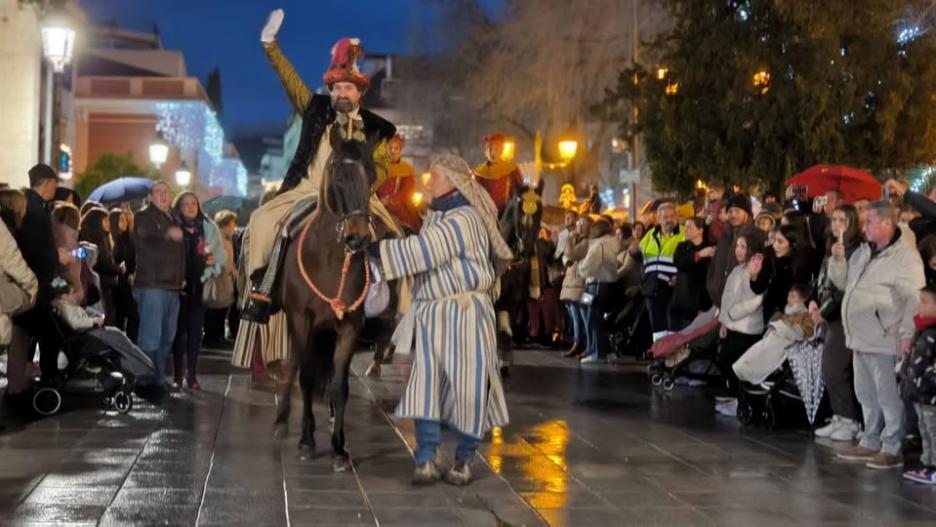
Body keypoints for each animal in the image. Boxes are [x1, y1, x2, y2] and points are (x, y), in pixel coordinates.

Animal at [272, 131, 374, 470]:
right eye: (340, 176)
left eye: (372, 175)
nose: (358, 236)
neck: (330, 259)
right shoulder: (301, 319)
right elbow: (305, 376)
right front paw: (306, 440)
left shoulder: (350, 326)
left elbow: (340, 385)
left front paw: (339, 448)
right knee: (294, 365)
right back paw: (281, 421)